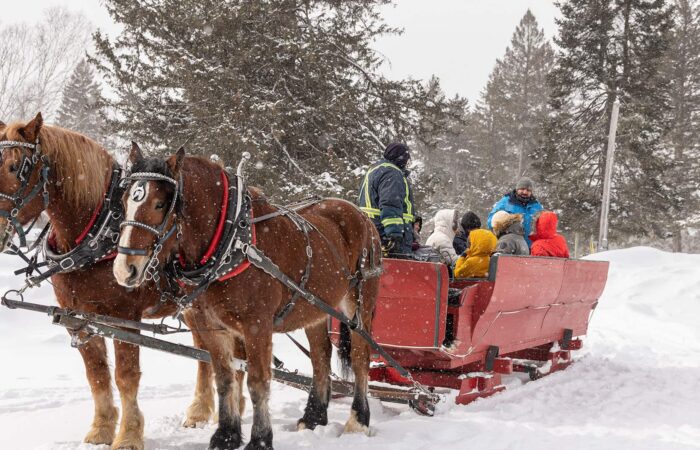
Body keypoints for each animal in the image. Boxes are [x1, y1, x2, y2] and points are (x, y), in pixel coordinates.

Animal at [0, 114, 229, 450]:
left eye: (16, 167)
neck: (97, 234)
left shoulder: (123, 317)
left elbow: (125, 375)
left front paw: (129, 434)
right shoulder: (78, 317)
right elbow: (96, 374)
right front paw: (101, 429)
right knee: (209, 352)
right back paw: (201, 411)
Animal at [113, 145, 382, 450]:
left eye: (160, 205)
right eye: (123, 201)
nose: (124, 269)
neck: (231, 242)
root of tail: (360, 214)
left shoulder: (256, 326)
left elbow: (257, 381)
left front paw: (260, 439)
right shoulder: (213, 326)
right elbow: (225, 378)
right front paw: (226, 435)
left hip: (359, 303)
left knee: (360, 356)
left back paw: (358, 420)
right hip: (315, 308)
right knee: (320, 356)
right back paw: (314, 417)